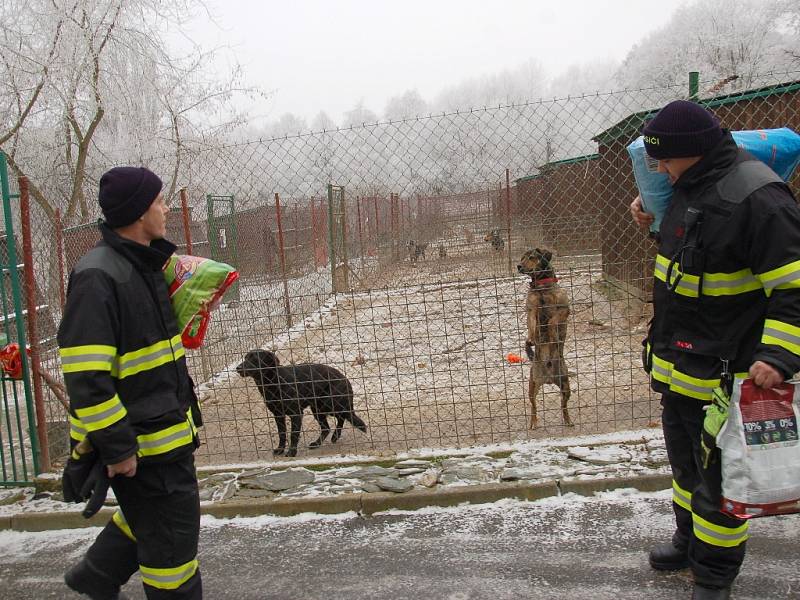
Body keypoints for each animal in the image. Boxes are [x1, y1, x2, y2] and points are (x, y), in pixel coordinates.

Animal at [234, 350, 366, 458]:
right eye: (245, 358)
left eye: (255, 359)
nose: (238, 368)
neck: (272, 382)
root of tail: (345, 378)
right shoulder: (278, 415)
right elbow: (282, 433)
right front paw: (280, 449)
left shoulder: (296, 414)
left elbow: (293, 434)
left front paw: (292, 452)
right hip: (317, 409)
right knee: (327, 427)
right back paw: (319, 442)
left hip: (330, 405)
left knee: (342, 417)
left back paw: (335, 436)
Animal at [520, 246, 572, 428]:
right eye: (521, 258)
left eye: (532, 257)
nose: (518, 266)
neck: (541, 287)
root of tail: (549, 379)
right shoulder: (531, 309)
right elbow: (532, 325)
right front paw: (531, 339)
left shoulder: (564, 309)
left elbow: (552, 321)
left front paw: (552, 333)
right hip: (532, 386)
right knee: (533, 406)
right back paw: (533, 423)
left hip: (565, 385)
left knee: (564, 406)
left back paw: (568, 420)